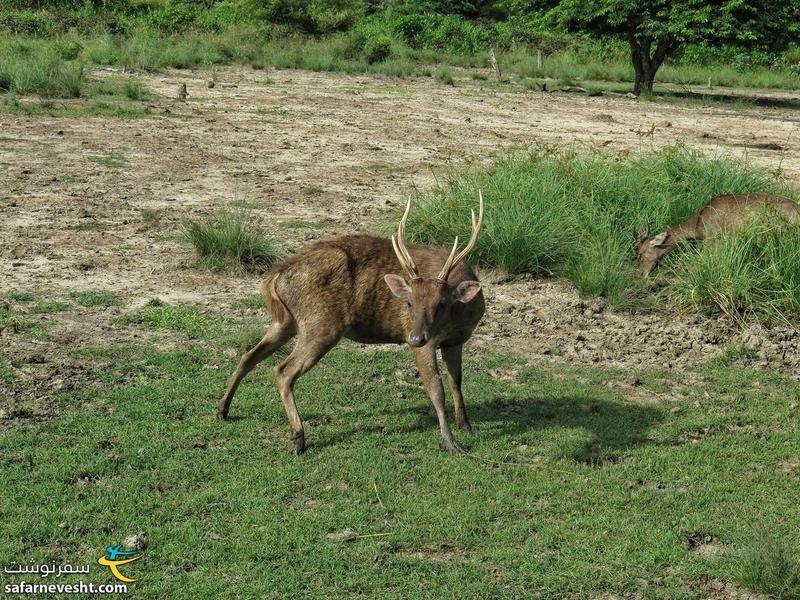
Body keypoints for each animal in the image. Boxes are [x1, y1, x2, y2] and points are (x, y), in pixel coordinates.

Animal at [216, 195, 484, 452]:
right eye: (408, 303)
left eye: (441, 303)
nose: (416, 337)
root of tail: (274, 278)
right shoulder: (424, 340)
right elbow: (436, 388)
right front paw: (449, 442)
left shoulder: (455, 341)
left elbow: (456, 381)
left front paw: (466, 426)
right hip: (321, 323)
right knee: (282, 370)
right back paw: (298, 438)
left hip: (285, 321)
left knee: (249, 356)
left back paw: (223, 410)